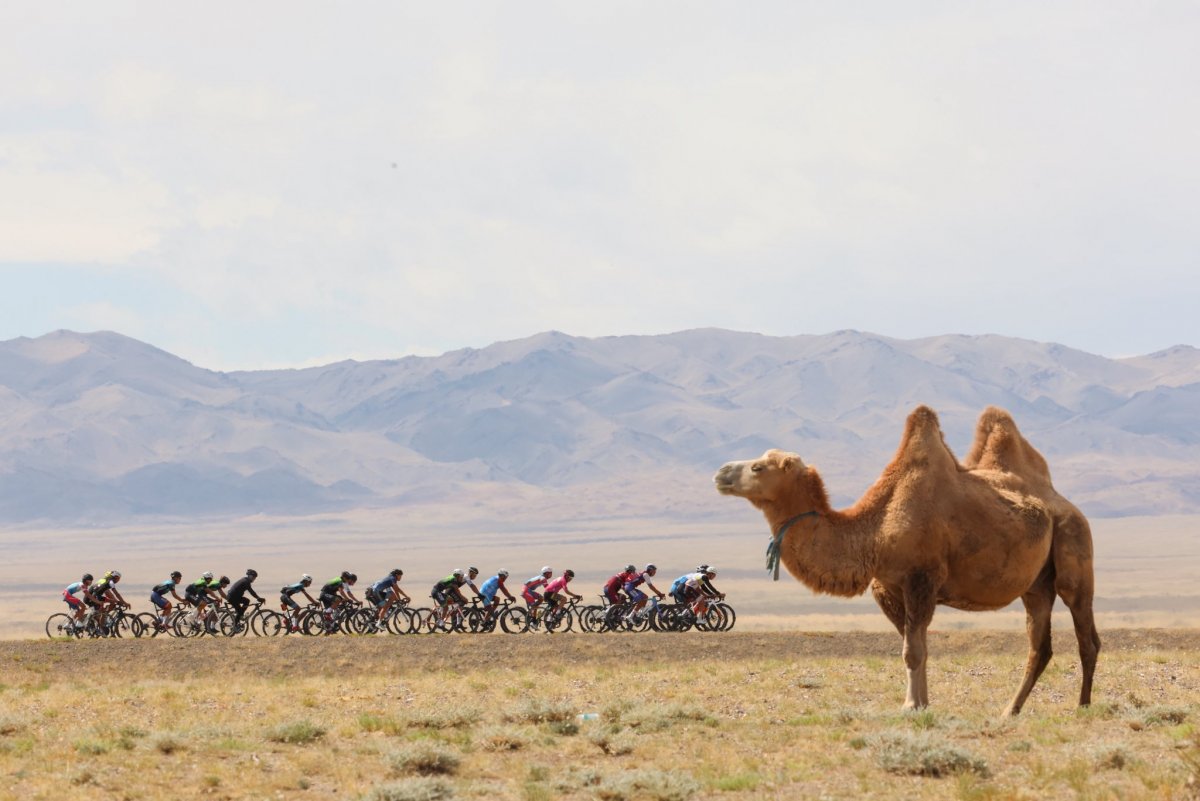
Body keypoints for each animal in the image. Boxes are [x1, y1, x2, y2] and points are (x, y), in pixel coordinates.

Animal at [713, 405, 1099, 714]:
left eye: (758, 467)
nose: (720, 472)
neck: (875, 532)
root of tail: (1064, 502)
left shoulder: (921, 579)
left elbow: (912, 650)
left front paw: (911, 705)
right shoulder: (887, 589)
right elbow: (917, 648)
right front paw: (922, 703)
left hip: (1074, 543)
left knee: (1085, 635)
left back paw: (1082, 706)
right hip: (1035, 586)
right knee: (1040, 646)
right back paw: (1010, 710)